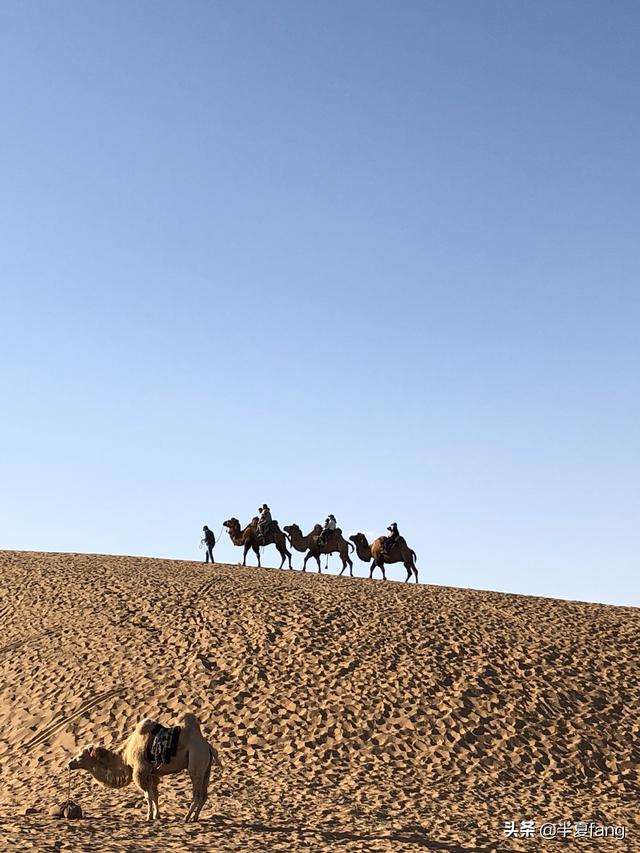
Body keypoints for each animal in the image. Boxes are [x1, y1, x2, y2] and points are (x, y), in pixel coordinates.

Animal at [68, 708, 221, 824]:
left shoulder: (140, 771)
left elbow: (148, 796)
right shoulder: (151, 774)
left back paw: (186, 818)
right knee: (204, 795)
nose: (69, 763)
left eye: (81, 756)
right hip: (206, 768)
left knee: (196, 794)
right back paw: (195, 817)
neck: (125, 755)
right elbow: (155, 795)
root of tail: (207, 746)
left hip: (196, 761)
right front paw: (157, 815)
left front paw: (148, 817)